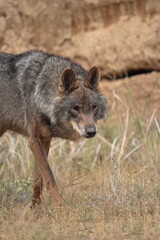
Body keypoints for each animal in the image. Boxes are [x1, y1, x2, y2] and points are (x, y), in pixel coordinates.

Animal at [0, 50, 107, 204]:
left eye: (94, 107)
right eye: (75, 108)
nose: (91, 131)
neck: (38, 94)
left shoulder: (45, 140)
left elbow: (38, 180)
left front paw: (35, 205)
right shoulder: (34, 140)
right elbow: (50, 178)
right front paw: (60, 205)